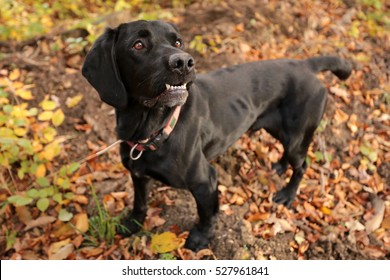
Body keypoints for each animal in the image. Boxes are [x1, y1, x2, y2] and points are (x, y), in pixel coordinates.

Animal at [80, 20, 352, 252]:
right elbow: (139, 202)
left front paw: (201, 239)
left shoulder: (205, 181)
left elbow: (206, 215)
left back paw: (287, 194)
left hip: (298, 136)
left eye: (178, 42)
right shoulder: (137, 173)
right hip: (278, 130)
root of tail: (305, 65)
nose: (185, 62)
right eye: (138, 44)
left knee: (302, 165)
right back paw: (280, 166)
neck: (150, 128)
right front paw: (132, 224)